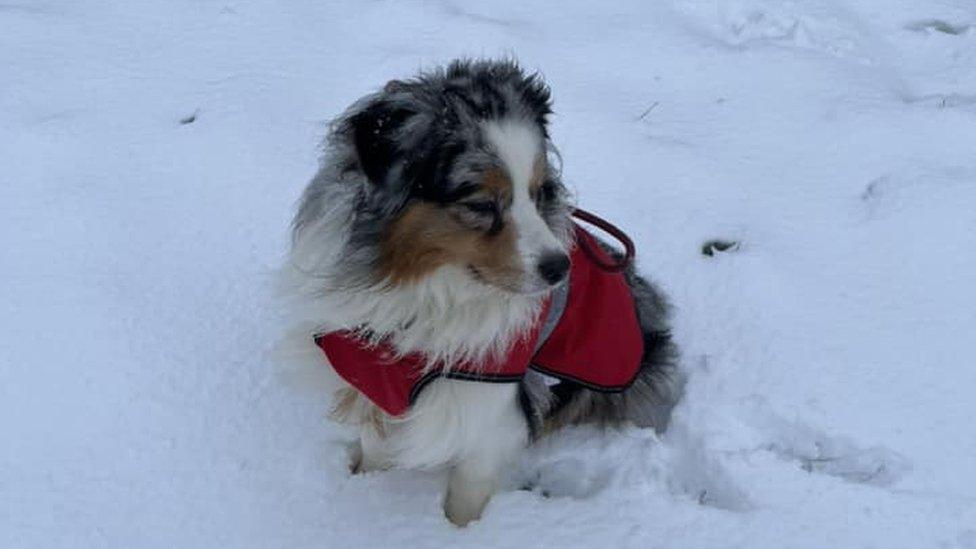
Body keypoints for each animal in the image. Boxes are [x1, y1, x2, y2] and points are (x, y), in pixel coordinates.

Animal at [278, 57, 684, 524]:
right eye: (481, 203)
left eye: (538, 192)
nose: (559, 268)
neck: (424, 293)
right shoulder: (369, 377)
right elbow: (375, 445)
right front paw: (363, 491)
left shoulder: (488, 409)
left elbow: (466, 495)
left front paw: (457, 532)